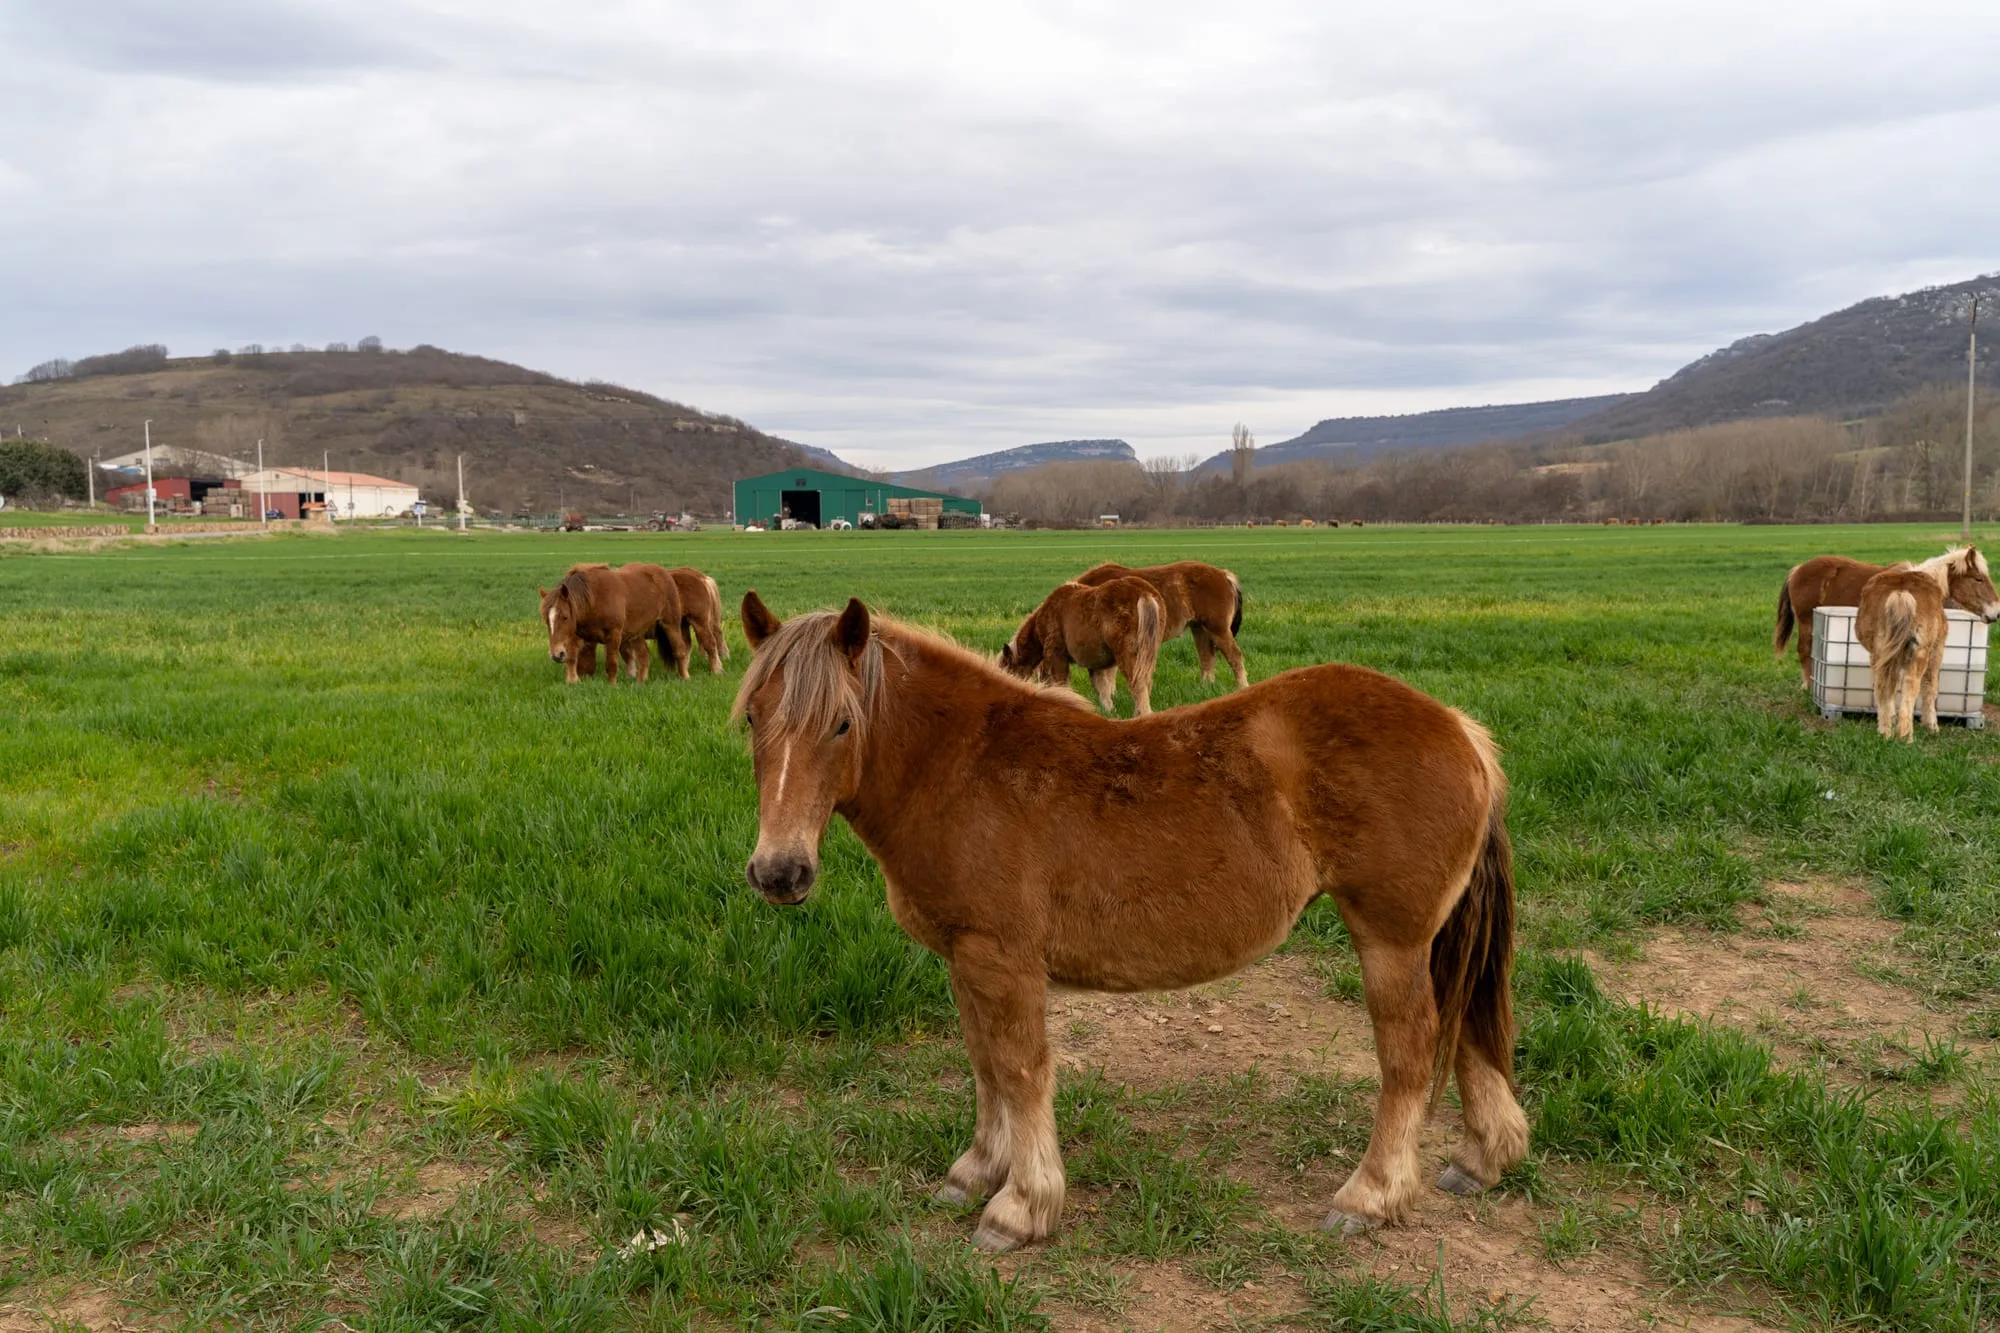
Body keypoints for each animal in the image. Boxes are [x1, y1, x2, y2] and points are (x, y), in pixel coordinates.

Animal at [538, 562, 688, 684]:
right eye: (546, 620)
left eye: (564, 617)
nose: (555, 655)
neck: (594, 599)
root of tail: (664, 573)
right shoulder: (576, 636)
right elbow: (572, 658)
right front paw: (572, 681)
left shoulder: (614, 634)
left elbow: (611, 664)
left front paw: (612, 686)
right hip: (636, 633)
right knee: (644, 656)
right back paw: (640, 682)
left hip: (670, 624)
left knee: (680, 650)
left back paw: (685, 677)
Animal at [732, 592, 1523, 1254]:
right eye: (752, 719)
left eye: (842, 722)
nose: (779, 872)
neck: (964, 768)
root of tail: (1461, 731)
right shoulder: (965, 960)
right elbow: (984, 1063)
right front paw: (975, 1171)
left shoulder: (1002, 959)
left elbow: (1019, 1071)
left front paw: (1021, 1206)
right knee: (1462, 1034)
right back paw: (1482, 1156)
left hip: (1391, 940)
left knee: (1411, 1054)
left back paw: (1370, 1195)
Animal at [997, 577, 1164, 715]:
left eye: (1007, 670)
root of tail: (1144, 594)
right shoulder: (1097, 664)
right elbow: (1102, 689)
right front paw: (1108, 712)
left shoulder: (1056, 654)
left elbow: (1061, 682)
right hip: (1148, 655)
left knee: (1138, 684)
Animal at [1073, 560, 1247, 690]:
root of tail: (1224, 575)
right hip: (1199, 628)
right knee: (1207, 657)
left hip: (1217, 629)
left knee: (1235, 656)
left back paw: (1242, 687)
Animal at [1775, 547, 1998, 688]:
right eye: (1978, 579)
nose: (1996, 613)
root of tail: (1798, 569)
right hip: (1806, 622)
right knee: (1804, 651)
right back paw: (1808, 685)